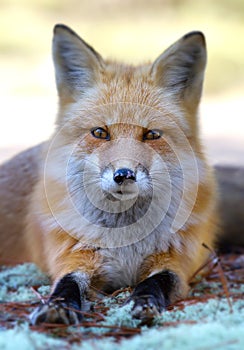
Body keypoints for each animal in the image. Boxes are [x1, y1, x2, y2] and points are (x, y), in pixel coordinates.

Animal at [0, 25, 217, 326]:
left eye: (152, 135)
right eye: (100, 133)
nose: (124, 174)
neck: (125, 243)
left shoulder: (180, 263)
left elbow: (157, 282)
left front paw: (143, 301)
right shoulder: (72, 257)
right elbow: (66, 283)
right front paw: (58, 305)